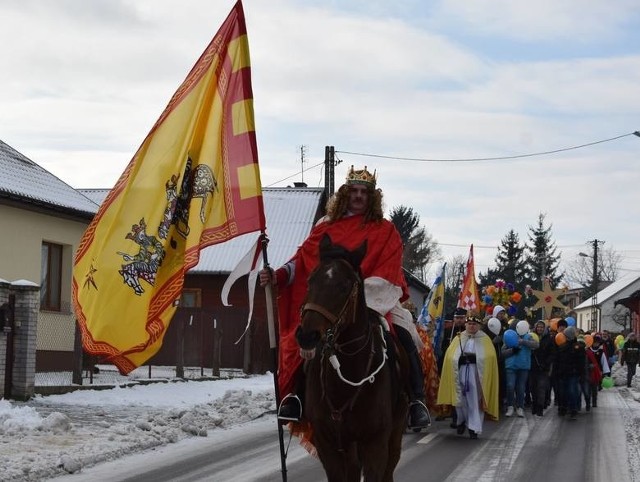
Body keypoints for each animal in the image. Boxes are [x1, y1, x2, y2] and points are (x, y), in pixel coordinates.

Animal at [296, 233, 410, 482]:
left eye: (344, 285)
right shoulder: (327, 444)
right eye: (310, 280)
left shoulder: (375, 443)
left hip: (395, 431)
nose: (307, 336)